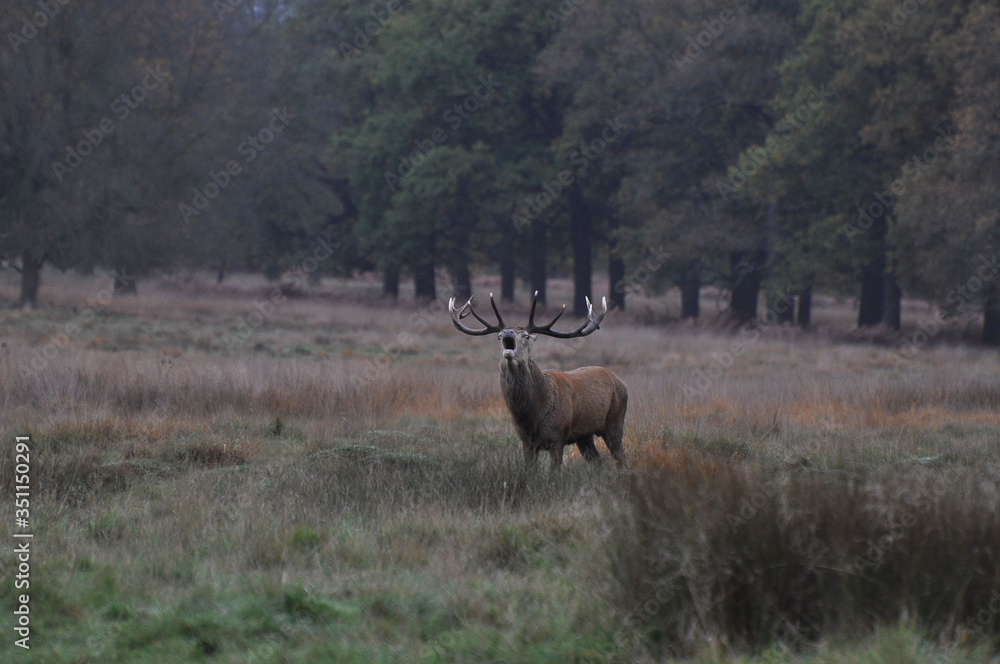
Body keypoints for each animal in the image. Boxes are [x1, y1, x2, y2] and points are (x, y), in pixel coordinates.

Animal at [448, 291, 628, 471]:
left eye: (526, 336)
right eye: (499, 336)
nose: (508, 332)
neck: (533, 415)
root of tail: (621, 382)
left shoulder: (557, 436)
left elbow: (554, 472)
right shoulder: (526, 441)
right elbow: (529, 471)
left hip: (615, 419)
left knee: (620, 456)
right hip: (584, 436)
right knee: (598, 462)